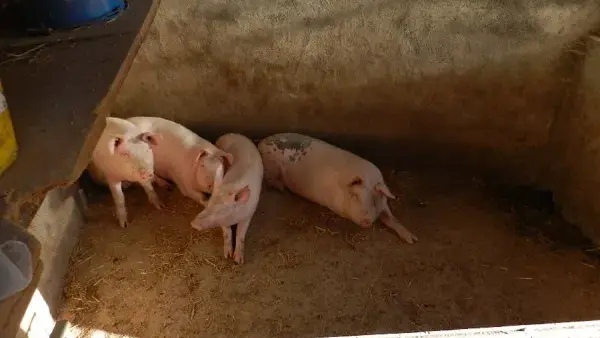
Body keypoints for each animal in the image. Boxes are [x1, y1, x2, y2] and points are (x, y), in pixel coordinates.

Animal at [189, 133, 262, 266]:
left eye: (221, 210)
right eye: (209, 204)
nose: (193, 224)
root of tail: (232, 133)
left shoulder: (249, 214)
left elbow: (241, 234)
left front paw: (238, 260)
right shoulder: (223, 222)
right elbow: (227, 232)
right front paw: (227, 255)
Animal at [258, 132, 418, 243]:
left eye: (373, 198)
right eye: (355, 196)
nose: (366, 221)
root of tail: (261, 142)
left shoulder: (384, 204)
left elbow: (392, 219)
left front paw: (412, 239)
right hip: (270, 167)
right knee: (270, 180)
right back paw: (281, 189)